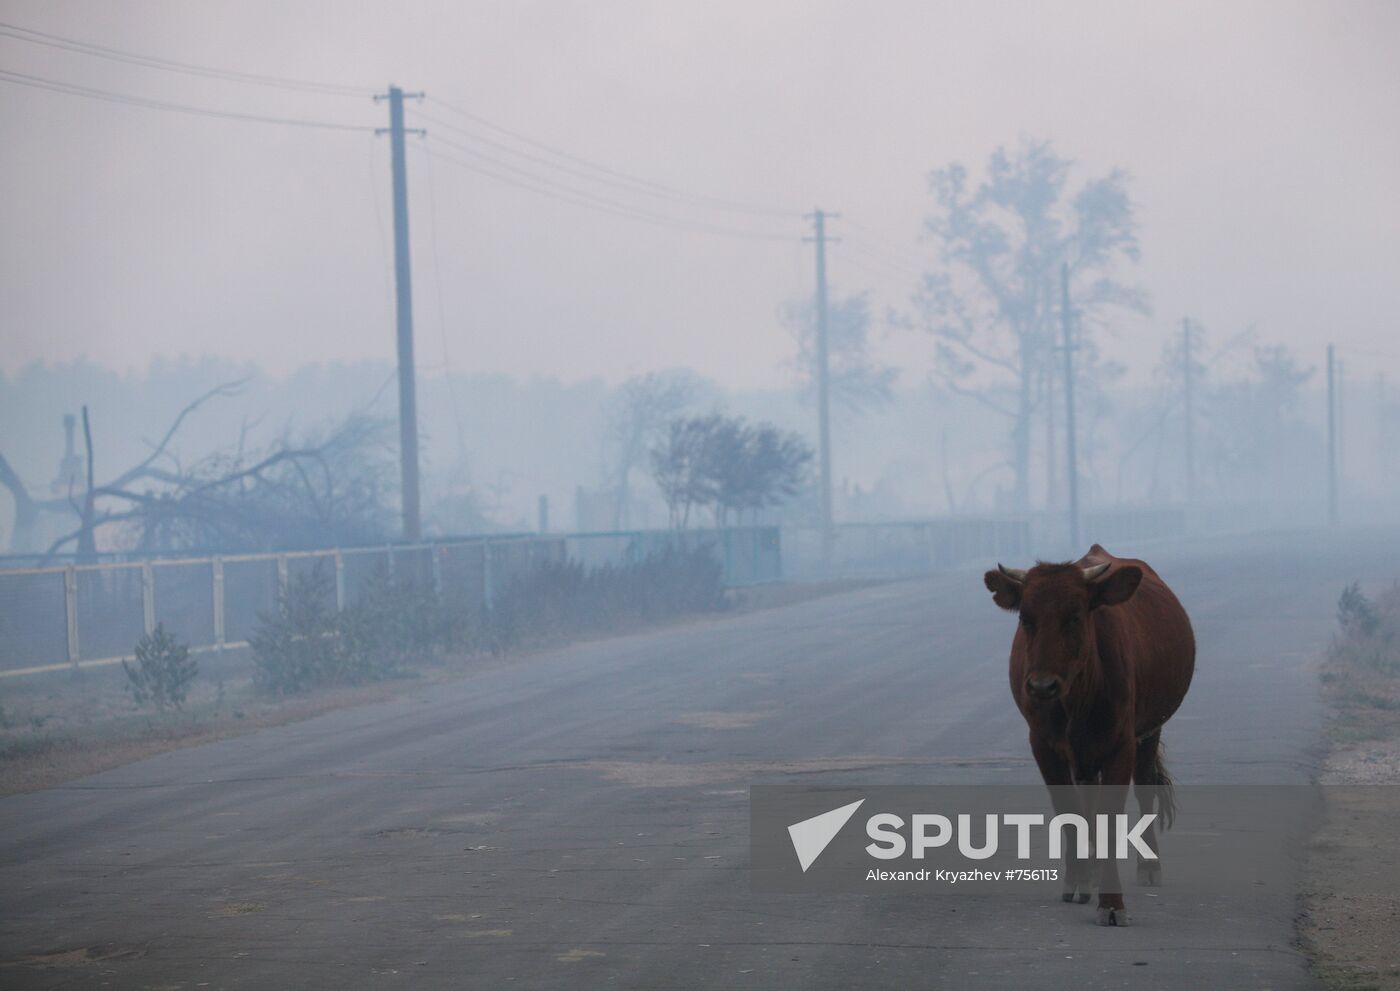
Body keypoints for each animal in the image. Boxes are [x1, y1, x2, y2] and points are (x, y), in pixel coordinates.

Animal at [980, 543, 1198, 923]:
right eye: (1026, 619)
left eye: (1076, 617)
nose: (1042, 686)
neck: (1076, 698)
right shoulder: (1043, 745)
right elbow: (1069, 810)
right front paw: (1078, 880)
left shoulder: (1121, 744)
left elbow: (1111, 815)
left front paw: (1112, 902)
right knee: (1087, 799)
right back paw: (1092, 867)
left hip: (1149, 732)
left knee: (1144, 789)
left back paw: (1148, 865)